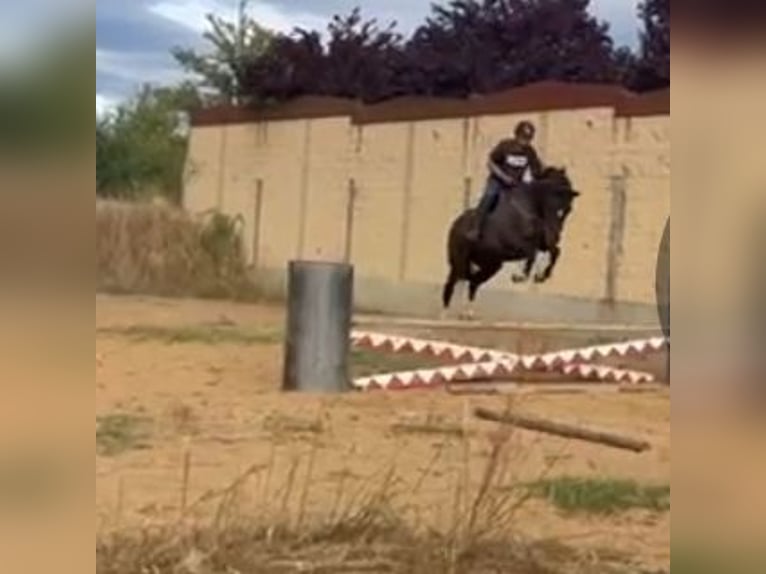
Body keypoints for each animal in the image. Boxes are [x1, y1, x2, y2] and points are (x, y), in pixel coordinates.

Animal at [444, 166, 584, 320]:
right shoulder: (514, 247)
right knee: (452, 283)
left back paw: (468, 313)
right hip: (460, 261)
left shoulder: (543, 244)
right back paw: (444, 315)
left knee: (474, 282)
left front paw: (541, 277)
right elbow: (532, 254)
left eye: (568, 210)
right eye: (555, 207)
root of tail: (454, 225)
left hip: (491, 265)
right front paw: (520, 277)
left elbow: (554, 251)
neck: (530, 209)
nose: (557, 235)